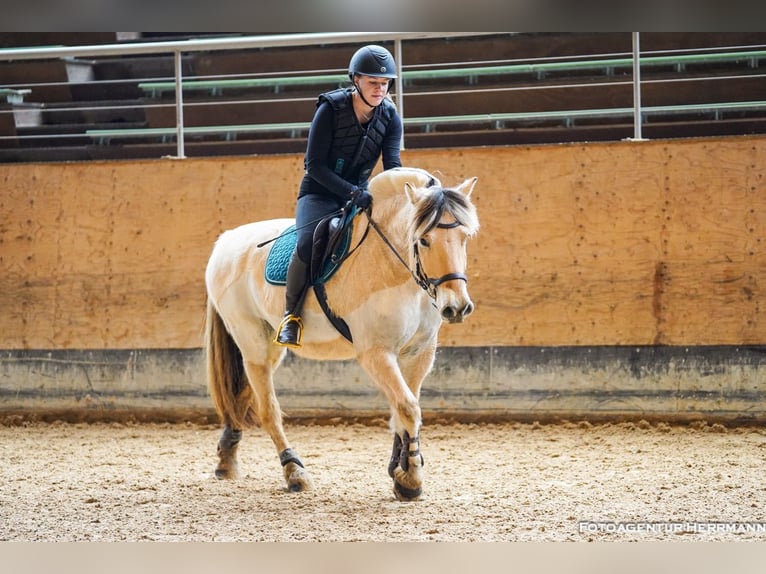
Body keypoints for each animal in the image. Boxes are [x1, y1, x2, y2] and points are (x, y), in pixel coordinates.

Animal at [204, 166, 480, 500]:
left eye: (464, 237)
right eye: (424, 240)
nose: (457, 308)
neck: (392, 267)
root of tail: (226, 241)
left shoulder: (419, 352)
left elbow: (402, 409)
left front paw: (398, 471)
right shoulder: (376, 353)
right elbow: (407, 407)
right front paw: (411, 479)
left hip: (268, 346)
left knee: (243, 394)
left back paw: (226, 459)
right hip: (252, 340)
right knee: (268, 409)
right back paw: (294, 472)